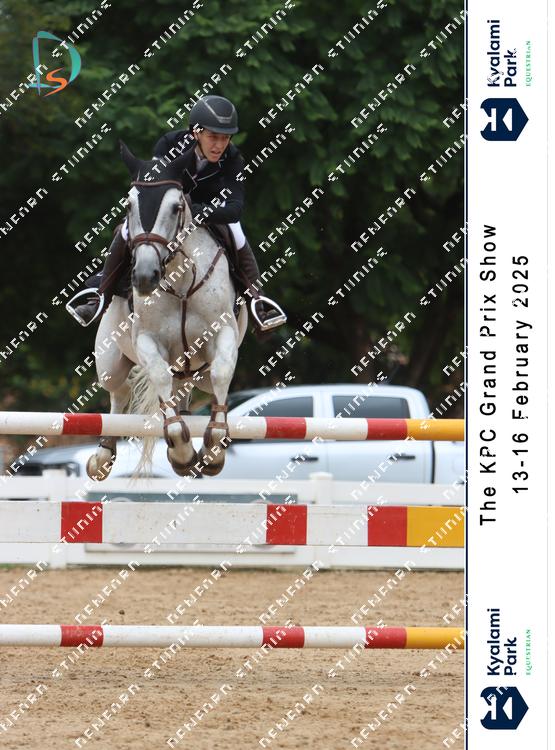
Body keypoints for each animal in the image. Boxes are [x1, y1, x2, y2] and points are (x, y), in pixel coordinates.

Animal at [85, 142, 248, 480]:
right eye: (128, 206)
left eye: (176, 207)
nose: (145, 276)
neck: (181, 278)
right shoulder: (146, 341)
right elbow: (159, 375)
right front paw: (181, 450)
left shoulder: (223, 334)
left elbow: (222, 372)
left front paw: (213, 449)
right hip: (109, 362)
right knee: (119, 392)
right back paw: (103, 455)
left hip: (194, 370)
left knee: (191, 384)